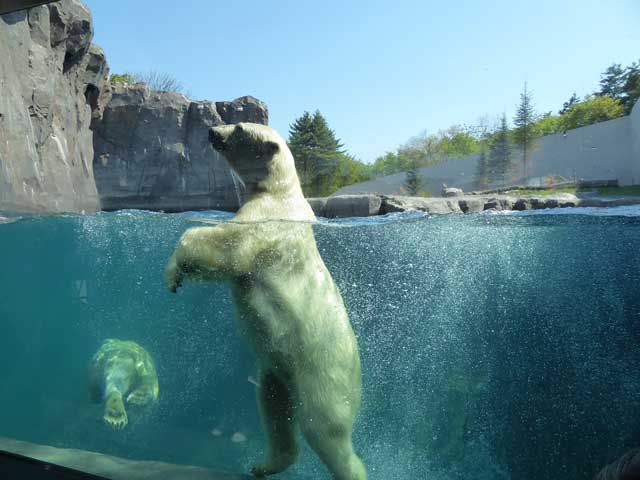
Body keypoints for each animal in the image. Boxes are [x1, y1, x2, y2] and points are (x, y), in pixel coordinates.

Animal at [164, 123, 364, 480]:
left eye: (239, 128)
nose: (212, 130)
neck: (283, 191)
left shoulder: (267, 218)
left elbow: (231, 247)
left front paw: (174, 272)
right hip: (277, 368)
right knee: (273, 405)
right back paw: (264, 464)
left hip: (324, 373)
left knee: (325, 430)